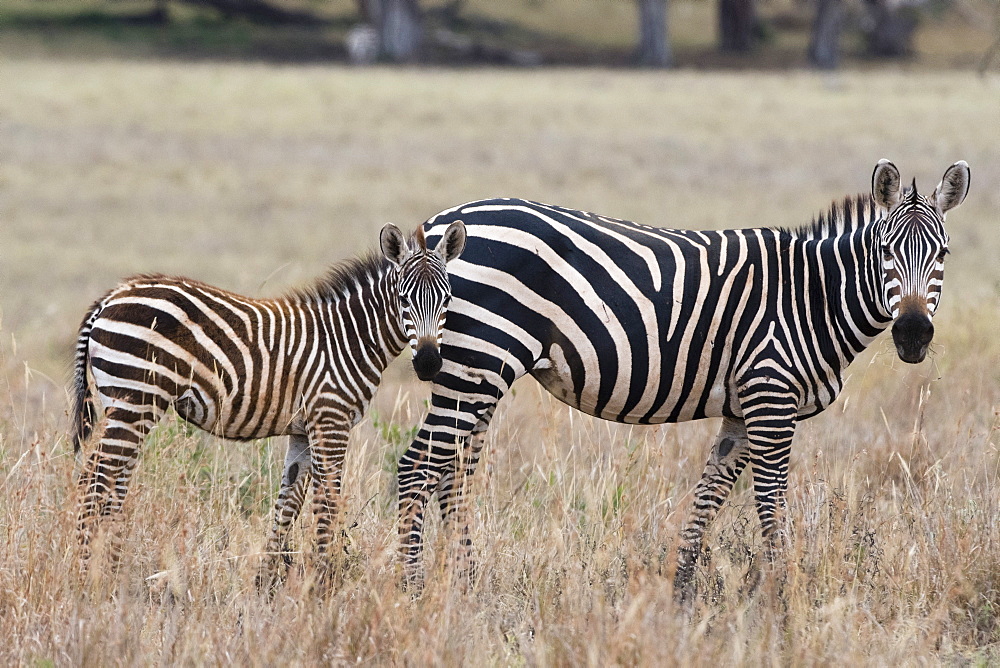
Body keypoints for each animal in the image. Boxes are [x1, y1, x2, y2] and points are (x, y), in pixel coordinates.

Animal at [72, 222, 470, 588]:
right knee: (96, 480)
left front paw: (269, 581)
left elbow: (289, 504)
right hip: (135, 398)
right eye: (404, 299)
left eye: (447, 299)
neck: (350, 338)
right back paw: (88, 576)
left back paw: (110, 569)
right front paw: (325, 582)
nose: (429, 364)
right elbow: (327, 503)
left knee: (113, 482)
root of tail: (111, 297)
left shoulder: (304, 430)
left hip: (128, 405)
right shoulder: (331, 420)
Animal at [396, 160, 968, 596]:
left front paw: (682, 591)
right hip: (479, 360)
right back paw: (411, 587)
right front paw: (782, 599)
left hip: (479, 371)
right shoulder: (770, 397)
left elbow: (710, 498)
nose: (913, 334)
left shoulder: (743, 410)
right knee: (416, 467)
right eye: (888, 252)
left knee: (453, 473)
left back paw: (468, 585)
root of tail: (438, 225)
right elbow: (771, 504)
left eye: (942, 254)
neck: (813, 296)